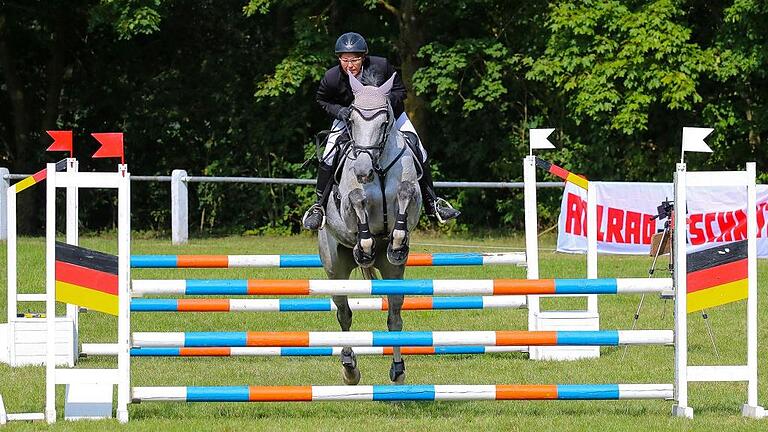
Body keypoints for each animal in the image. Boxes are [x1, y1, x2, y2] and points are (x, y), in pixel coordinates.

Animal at [320, 71, 424, 384]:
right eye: (352, 120)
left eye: (383, 122)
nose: (362, 171)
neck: (377, 166)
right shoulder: (349, 203)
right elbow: (356, 198)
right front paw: (364, 244)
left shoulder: (411, 195)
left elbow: (405, 192)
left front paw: (398, 241)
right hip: (335, 268)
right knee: (344, 314)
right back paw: (349, 369)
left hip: (393, 272)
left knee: (394, 316)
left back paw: (398, 370)